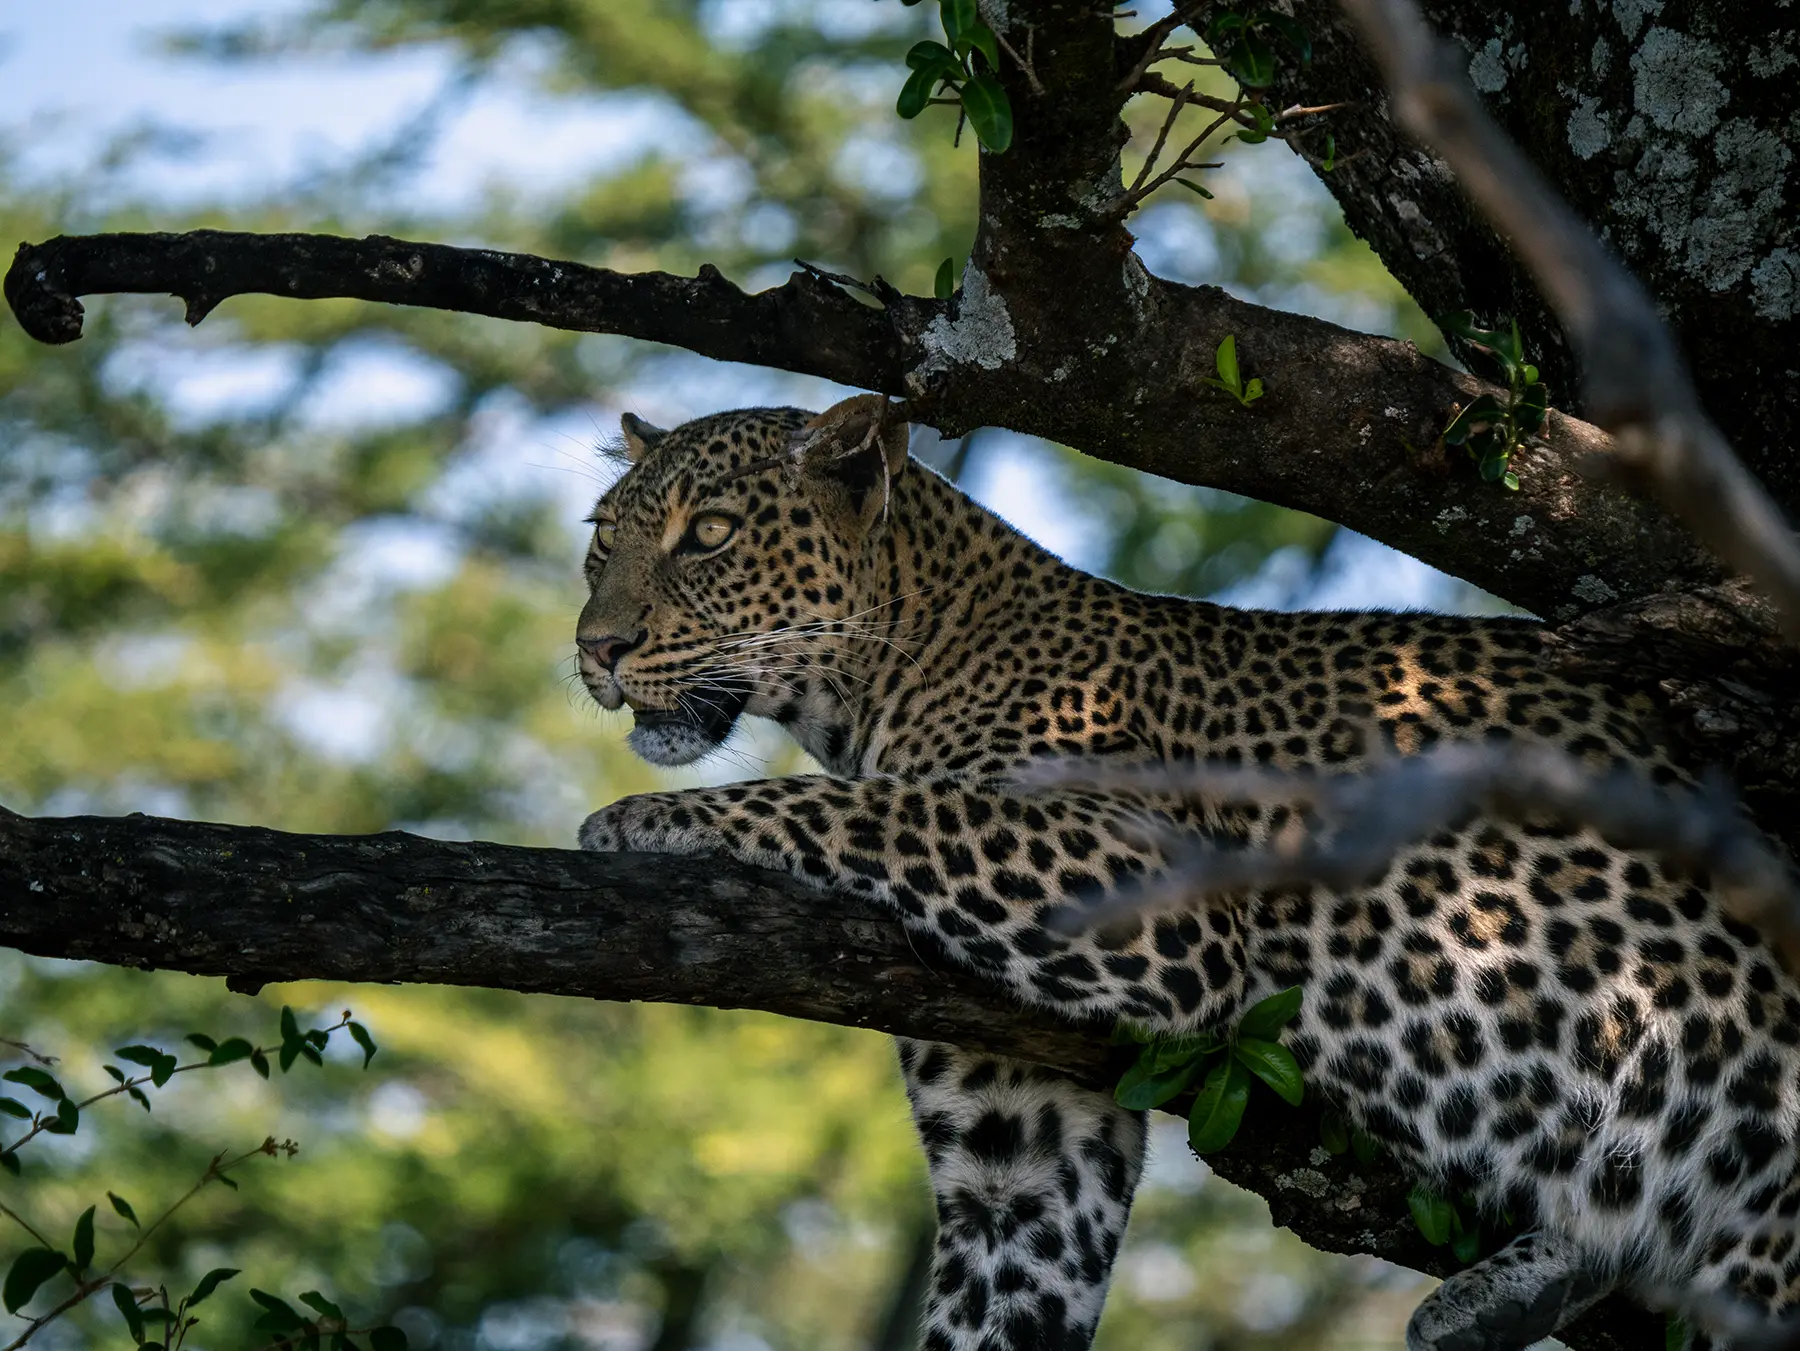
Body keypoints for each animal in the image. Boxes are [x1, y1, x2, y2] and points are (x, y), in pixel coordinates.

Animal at [574, 395, 1800, 1351]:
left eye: (708, 535)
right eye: (600, 546)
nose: (595, 648)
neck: (887, 676)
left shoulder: (1140, 882)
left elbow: (879, 806)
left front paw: (638, 820)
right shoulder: (1020, 1141)